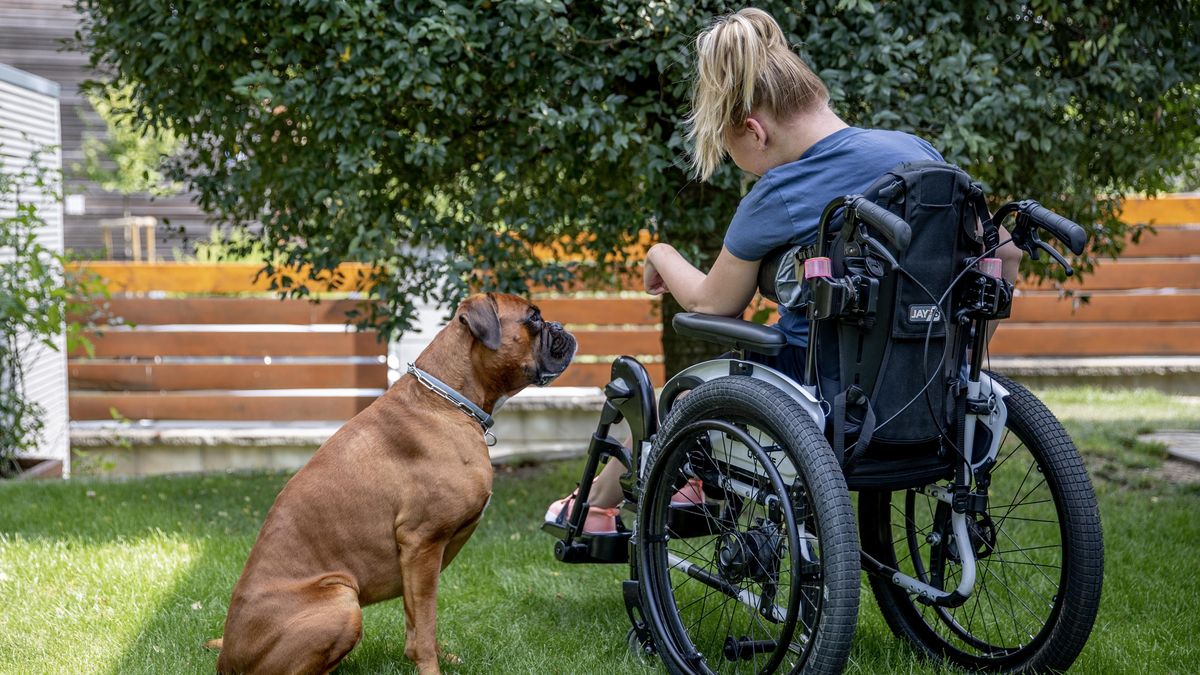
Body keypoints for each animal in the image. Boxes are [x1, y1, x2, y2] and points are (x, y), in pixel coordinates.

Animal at [207, 290, 576, 672]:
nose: (560, 326)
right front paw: (430, 668)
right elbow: (425, 623)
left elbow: (419, 620)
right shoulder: (422, 543)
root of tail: (227, 658)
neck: (448, 400)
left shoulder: (418, 563)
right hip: (342, 600)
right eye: (533, 318)